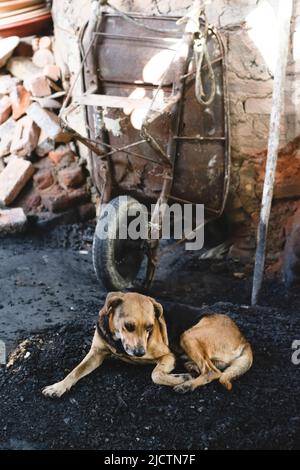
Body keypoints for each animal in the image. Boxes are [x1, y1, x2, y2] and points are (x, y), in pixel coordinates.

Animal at [42, 294, 253, 396]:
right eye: (129, 326)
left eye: (150, 327)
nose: (139, 352)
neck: (119, 343)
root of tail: (244, 339)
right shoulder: (95, 354)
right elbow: (74, 372)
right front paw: (58, 387)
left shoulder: (167, 356)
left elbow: (155, 375)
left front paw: (180, 378)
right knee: (209, 367)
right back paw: (192, 368)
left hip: (188, 335)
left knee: (212, 372)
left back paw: (187, 384)